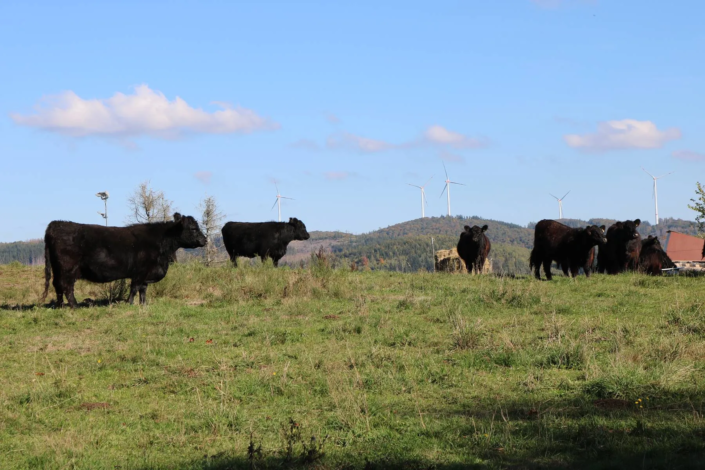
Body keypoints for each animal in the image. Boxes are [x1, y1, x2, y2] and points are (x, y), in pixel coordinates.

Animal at [41, 214, 205, 308]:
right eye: (193, 228)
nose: (204, 240)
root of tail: (55, 224)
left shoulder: (146, 273)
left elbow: (143, 290)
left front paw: (143, 305)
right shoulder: (140, 272)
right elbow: (135, 288)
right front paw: (129, 303)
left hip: (58, 269)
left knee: (57, 285)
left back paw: (60, 305)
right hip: (68, 269)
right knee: (66, 286)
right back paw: (74, 306)